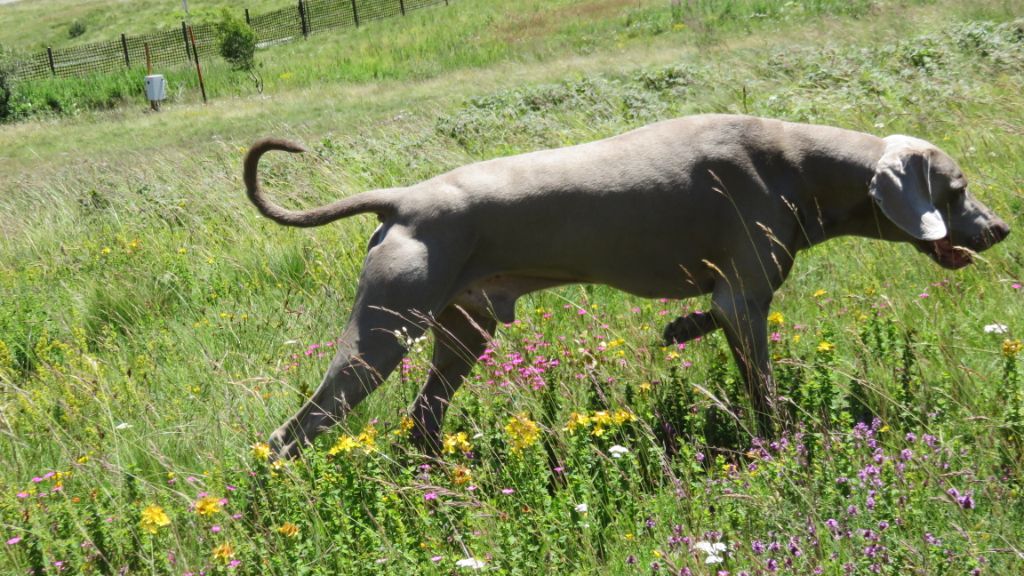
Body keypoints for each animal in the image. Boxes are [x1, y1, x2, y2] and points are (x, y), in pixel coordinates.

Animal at [245, 113, 1007, 457]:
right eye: (958, 188)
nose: (1000, 229)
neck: (795, 161)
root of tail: (400, 199)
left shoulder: (732, 296)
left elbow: (709, 319)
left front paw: (679, 328)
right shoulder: (746, 297)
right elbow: (761, 383)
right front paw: (779, 445)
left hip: (464, 327)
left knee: (424, 415)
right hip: (384, 331)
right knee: (294, 430)